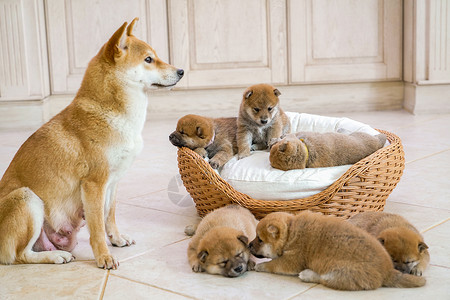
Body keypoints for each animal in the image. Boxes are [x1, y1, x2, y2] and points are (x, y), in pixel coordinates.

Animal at [0, 17, 184, 268]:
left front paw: (116, 238)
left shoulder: (112, 182)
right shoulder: (94, 184)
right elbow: (97, 227)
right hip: (26, 198)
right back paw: (55, 256)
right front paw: (104, 256)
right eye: (148, 59)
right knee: (20, 256)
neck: (112, 113)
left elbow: (109, 215)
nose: (182, 71)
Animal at [250, 211, 426, 290]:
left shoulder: (291, 261)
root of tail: (388, 271)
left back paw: (306, 275)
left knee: (322, 279)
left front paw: (259, 266)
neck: (290, 232)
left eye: (260, 239)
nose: (249, 245)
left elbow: (273, 264)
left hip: (341, 272)